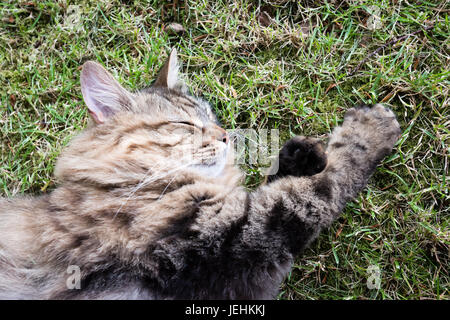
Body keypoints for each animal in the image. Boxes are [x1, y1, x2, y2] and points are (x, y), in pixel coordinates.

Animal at [0, 48, 400, 298]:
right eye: (184, 124)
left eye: (212, 117)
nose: (225, 136)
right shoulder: (242, 236)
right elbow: (330, 177)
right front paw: (371, 129)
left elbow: (288, 178)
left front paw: (299, 155)